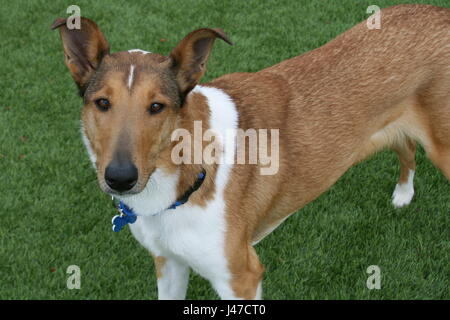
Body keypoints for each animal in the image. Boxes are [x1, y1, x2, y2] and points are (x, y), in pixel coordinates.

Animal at [51, 5, 446, 298]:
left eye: (157, 106)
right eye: (102, 103)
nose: (119, 179)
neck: (182, 176)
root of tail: (438, 11)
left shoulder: (240, 276)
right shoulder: (168, 263)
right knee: (406, 145)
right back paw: (403, 193)